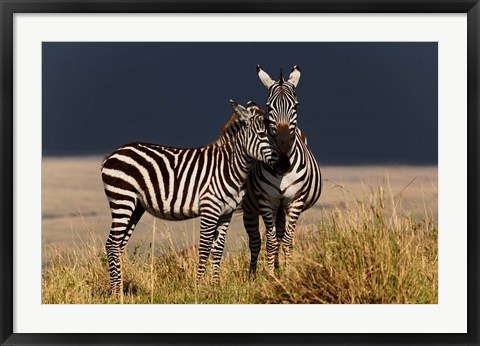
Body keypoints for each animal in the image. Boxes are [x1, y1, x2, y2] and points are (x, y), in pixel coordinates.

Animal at [102, 100, 280, 294]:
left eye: (274, 133)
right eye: (262, 134)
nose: (283, 162)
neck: (229, 166)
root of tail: (112, 154)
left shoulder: (226, 213)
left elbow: (218, 249)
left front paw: (214, 286)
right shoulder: (210, 209)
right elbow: (205, 248)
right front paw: (199, 287)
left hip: (135, 206)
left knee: (118, 244)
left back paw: (118, 290)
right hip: (122, 199)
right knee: (111, 244)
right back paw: (115, 293)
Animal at [242, 66, 324, 278]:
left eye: (296, 106)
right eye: (269, 107)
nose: (284, 142)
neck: (283, 167)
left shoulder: (294, 201)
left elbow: (286, 240)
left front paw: (286, 274)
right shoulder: (266, 202)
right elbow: (270, 243)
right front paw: (271, 277)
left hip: (282, 208)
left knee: (279, 236)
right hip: (250, 208)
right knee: (255, 242)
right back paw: (252, 276)